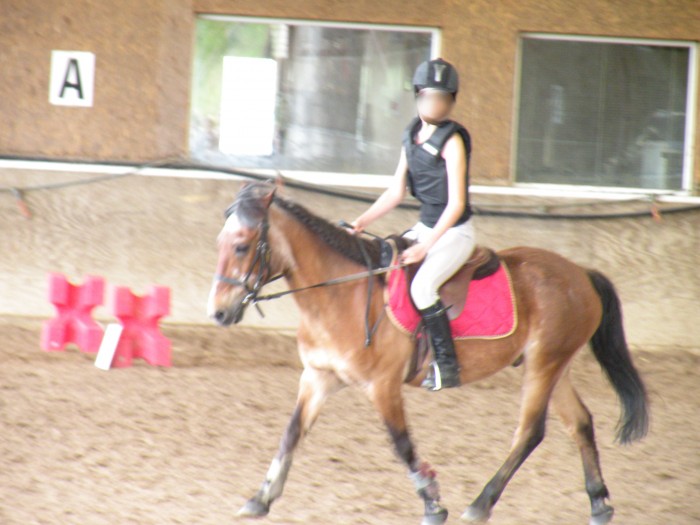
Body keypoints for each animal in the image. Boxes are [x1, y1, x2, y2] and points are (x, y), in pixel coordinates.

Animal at [207, 181, 648, 525]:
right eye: (220, 244)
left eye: (242, 246)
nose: (219, 312)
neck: (340, 295)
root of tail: (580, 273)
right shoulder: (318, 376)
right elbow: (291, 433)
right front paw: (260, 498)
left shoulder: (382, 385)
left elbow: (402, 444)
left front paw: (433, 504)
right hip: (556, 365)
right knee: (580, 423)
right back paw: (599, 503)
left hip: (543, 364)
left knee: (529, 431)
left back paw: (480, 504)